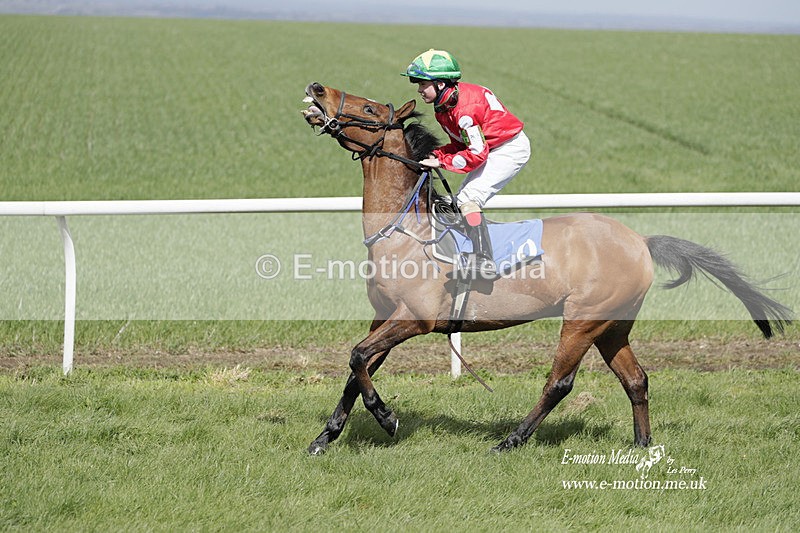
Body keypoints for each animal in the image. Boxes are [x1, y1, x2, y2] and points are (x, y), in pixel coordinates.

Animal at [300, 82, 793, 455]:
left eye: (368, 107)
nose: (317, 88)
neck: (406, 233)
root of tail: (640, 241)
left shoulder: (415, 318)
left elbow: (357, 356)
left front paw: (387, 418)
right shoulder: (385, 315)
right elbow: (356, 368)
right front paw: (325, 438)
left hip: (582, 320)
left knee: (559, 382)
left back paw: (511, 440)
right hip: (612, 326)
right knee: (636, 379)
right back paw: (642, 446)